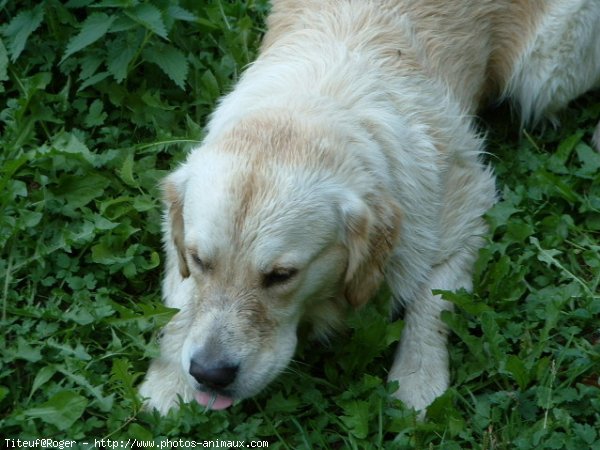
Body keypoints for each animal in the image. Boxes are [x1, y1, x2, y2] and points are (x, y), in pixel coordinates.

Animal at [137, 0, 600, 414]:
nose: (210, 373)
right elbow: (181, 303)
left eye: (281, 276)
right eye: (200, 260)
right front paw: (168, 380)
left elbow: (433, 298)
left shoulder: (468, 200)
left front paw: (418, 381)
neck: (311, 105)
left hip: (544, 73)